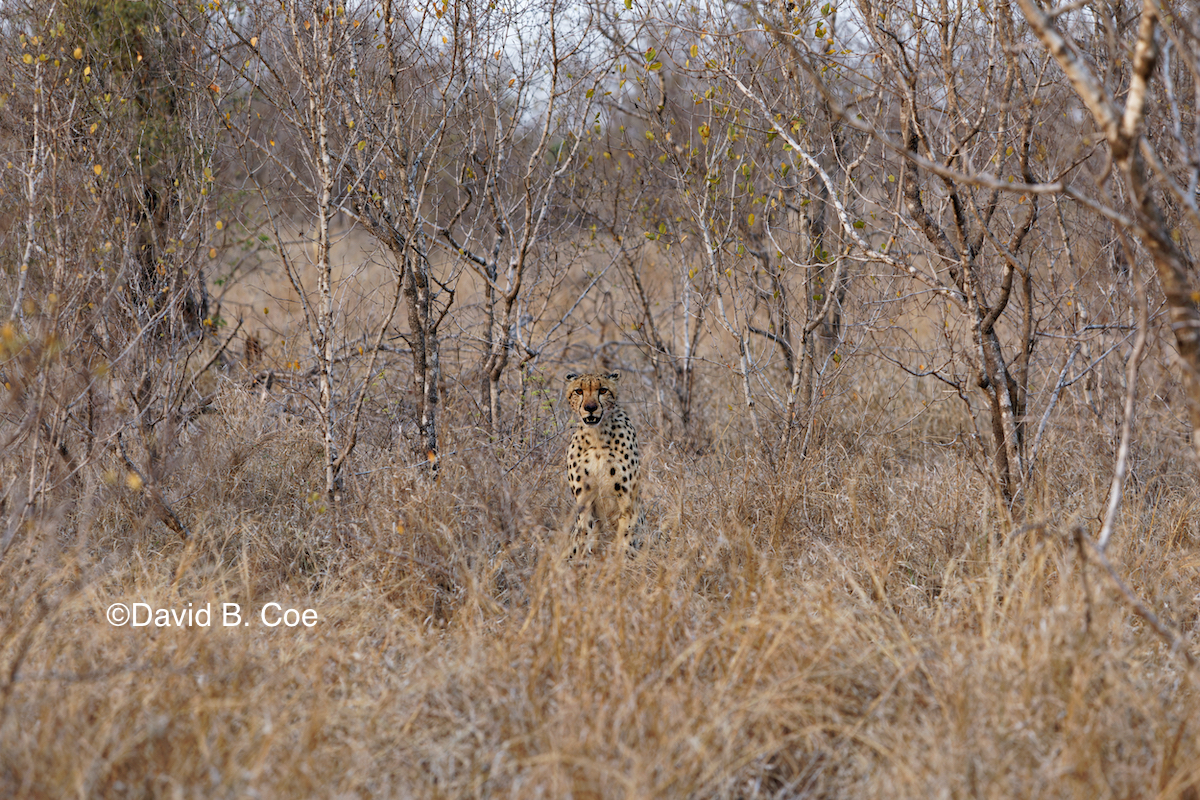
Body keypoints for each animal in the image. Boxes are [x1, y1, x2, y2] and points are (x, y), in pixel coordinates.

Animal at [564, 371, 643, 554]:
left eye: (603, 390)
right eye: (579, 391)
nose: (590, 407)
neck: (597, 437)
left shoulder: (626, 498)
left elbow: (625, 534)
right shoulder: (584, 498)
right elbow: (584, 534)